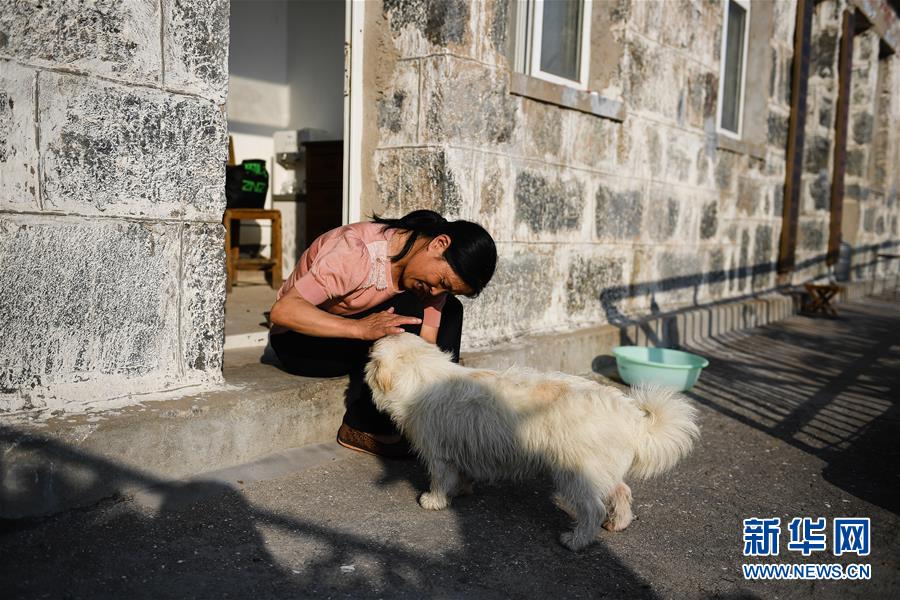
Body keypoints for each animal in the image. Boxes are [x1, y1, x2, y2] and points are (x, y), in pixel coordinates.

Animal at [362, 336, 700, 552]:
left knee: (592, 509)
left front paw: (434, 500)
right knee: (622, 492)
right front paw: (462, 489)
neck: (422, 373)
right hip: (602, 467)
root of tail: (628, 412)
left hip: (577, 472)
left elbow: (440, 478)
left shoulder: (438, 454)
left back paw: (576, 541)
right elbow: (461, 473)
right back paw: (619, 523)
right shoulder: (461, 449)